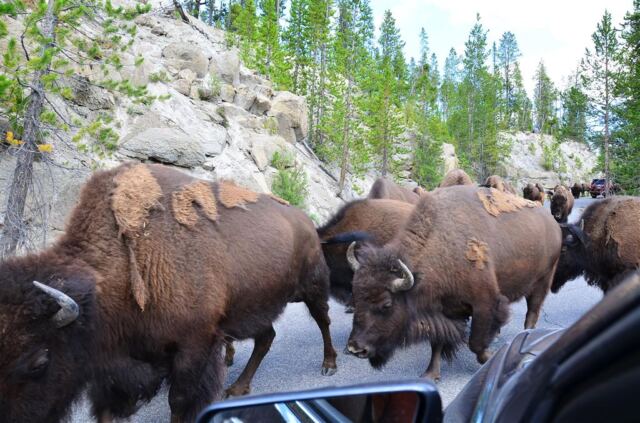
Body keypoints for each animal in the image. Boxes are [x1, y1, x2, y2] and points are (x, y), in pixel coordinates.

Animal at [0, 163, 336, 422]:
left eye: (39, 362)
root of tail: (306, 221)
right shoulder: (113, 369)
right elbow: (106, 408)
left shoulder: (194, 345)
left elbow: (180, 401)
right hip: (252, 308)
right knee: (266, 338)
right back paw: (239, 388)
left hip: (313, 288)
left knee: (323, 321)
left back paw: (329, 365)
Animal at [344, 186, 561, 380]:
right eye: (355, 298)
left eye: (386, 304)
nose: (355, 348)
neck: (442, 245)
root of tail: (553, 224)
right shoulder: (444, 310)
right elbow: (437, 343)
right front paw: (431, 374)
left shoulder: (485, 303)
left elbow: (475, 341)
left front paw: (488, 357)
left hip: (541, 282)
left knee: (532, 313)